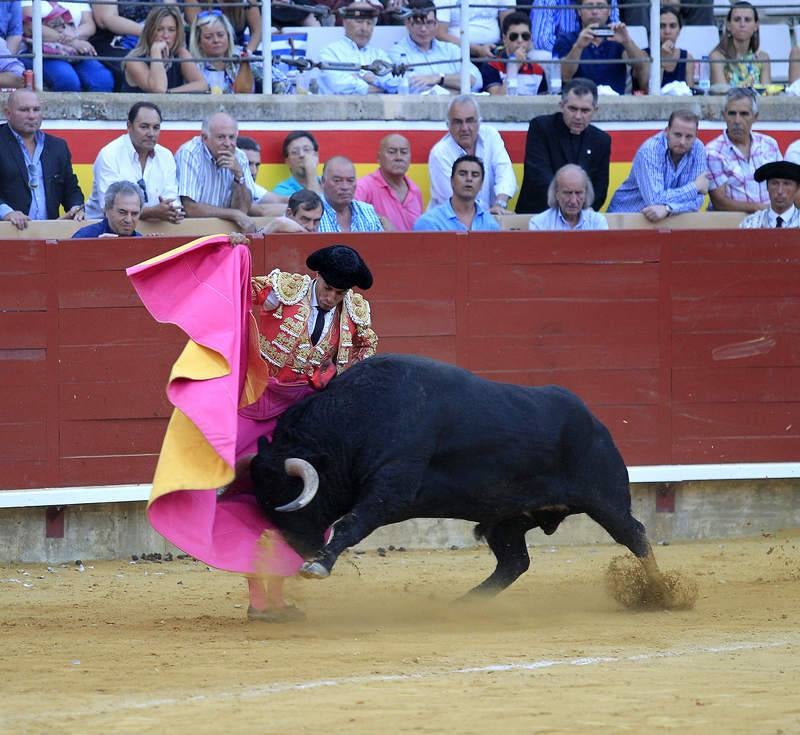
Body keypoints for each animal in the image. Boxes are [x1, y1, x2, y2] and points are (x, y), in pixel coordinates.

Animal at [250, 354, 664, 596]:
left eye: (288, 499)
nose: (302, 549)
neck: (360, 416)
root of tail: (595, 421)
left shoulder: (390, 490)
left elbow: (351, 523)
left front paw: (318, 566)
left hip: (605, 500)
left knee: (635, 534)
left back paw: (660, 591)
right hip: (506, 519)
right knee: (514, 562)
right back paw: (467, 602)